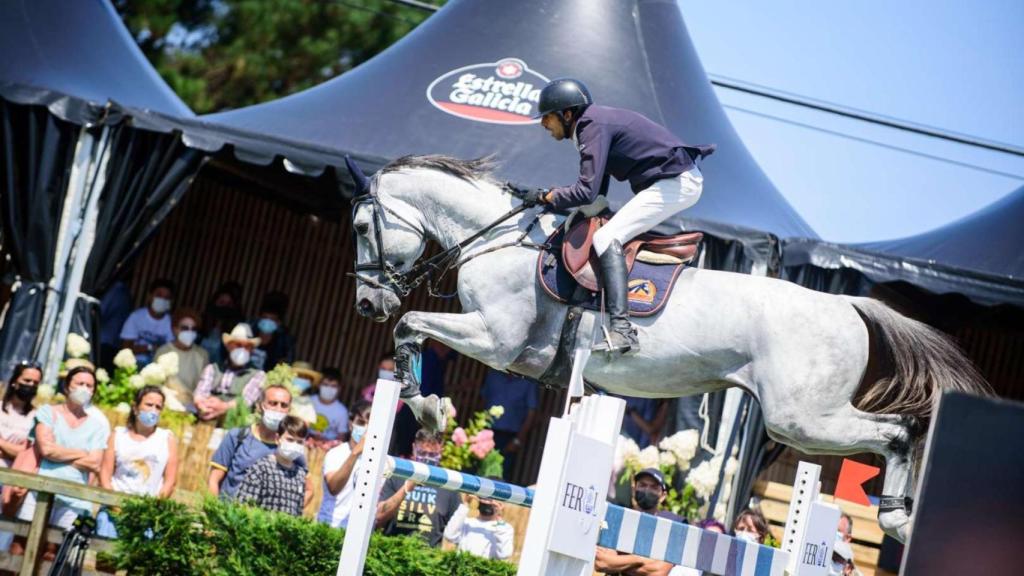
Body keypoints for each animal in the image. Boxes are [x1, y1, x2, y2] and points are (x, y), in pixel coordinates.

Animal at [346, 152, 991, 537]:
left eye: (358, 227)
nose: (367, 304)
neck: (500, 240)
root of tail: (848, 306)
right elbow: (411, 330)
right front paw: (427, 404)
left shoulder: (498, 342)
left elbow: (412, 326)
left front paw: (428, 408)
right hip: (803, 419)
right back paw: (900, 520)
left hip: (800, 419)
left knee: (898, 432)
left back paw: (897, 520)